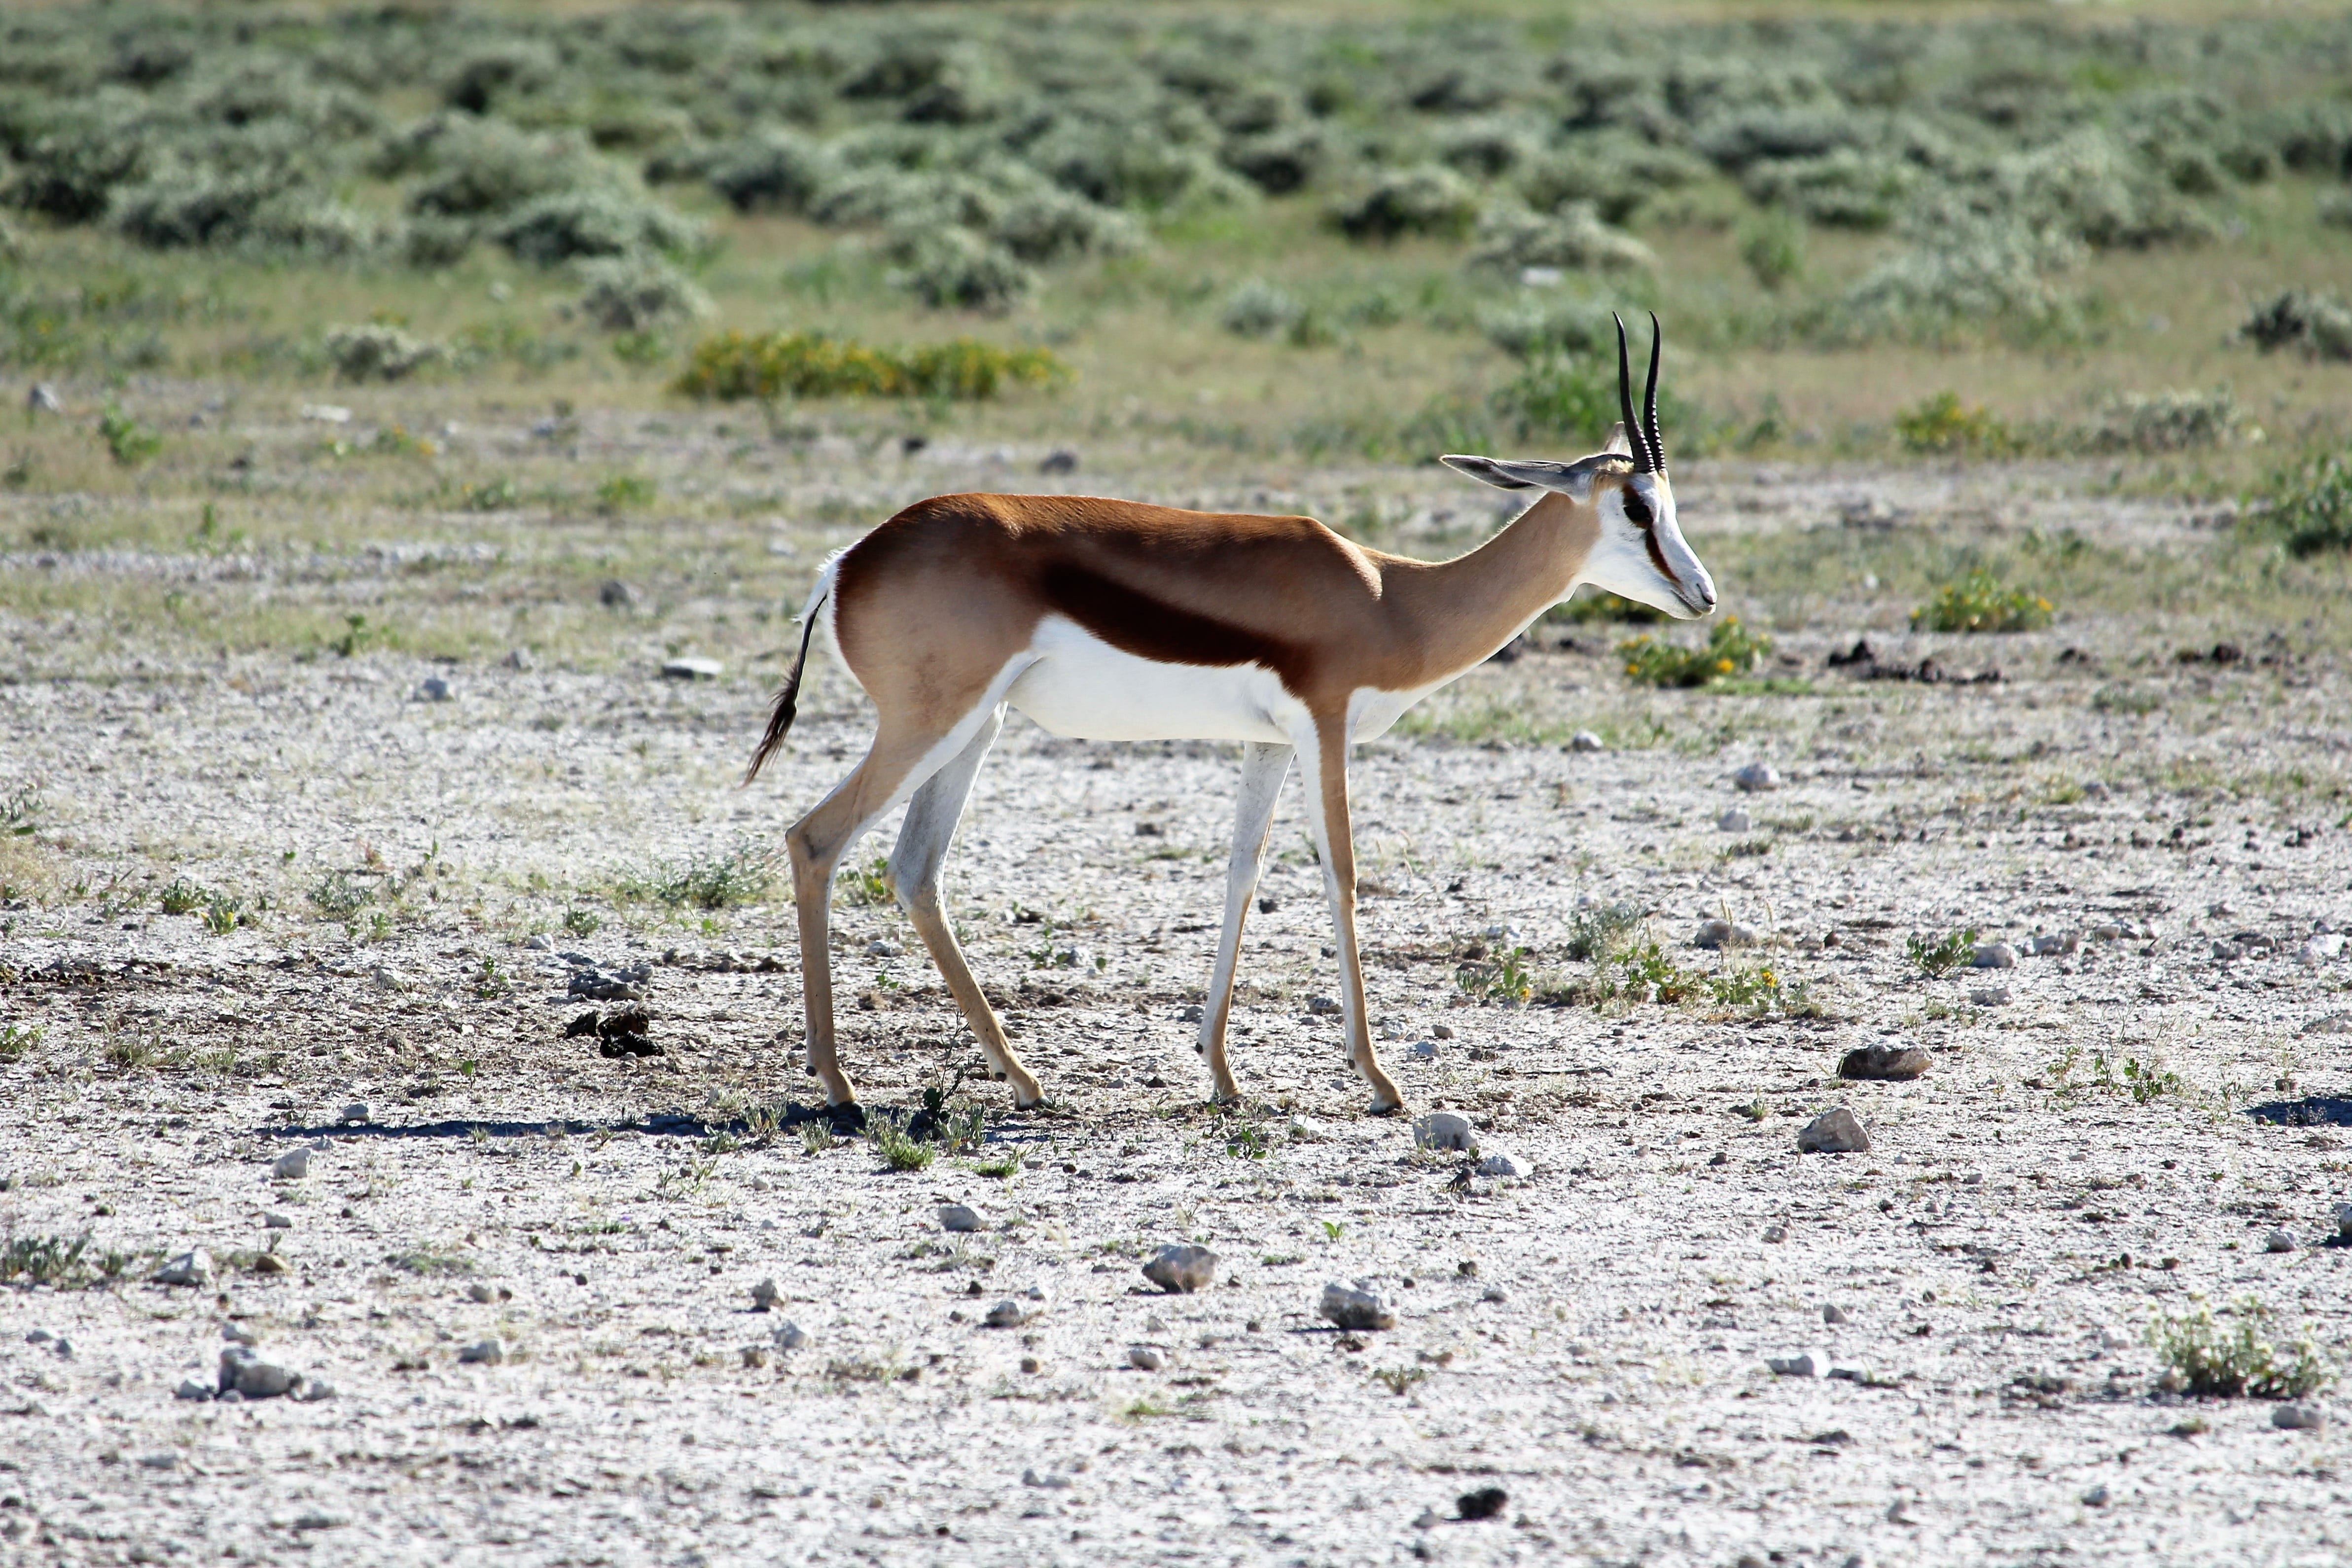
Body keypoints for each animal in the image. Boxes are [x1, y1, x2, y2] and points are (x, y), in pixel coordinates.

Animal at [747, 315, 1714, 1115]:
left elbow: (1240, 877)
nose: (1702, 594)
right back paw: (840, 1087)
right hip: (927, 726)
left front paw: (1221, 1074)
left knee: (915, 871)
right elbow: (1342, 878)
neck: (1392, 600)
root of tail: (847, 561)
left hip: (974, 730)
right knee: (814, 841)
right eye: (1637, 506)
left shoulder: (1268, 745)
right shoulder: (1325, 729)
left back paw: (1022, 1079)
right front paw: (1380, 1082)